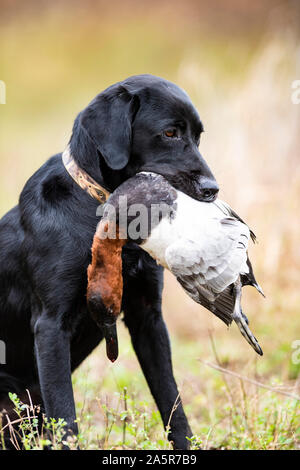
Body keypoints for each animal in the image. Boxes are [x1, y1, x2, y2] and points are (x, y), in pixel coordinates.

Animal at [0, 73, 218, 448]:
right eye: (169, 133)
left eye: (198, 136)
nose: (212, 189)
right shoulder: (50, 325)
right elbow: (66, 417)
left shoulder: (148, 317)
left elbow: (173, 403)